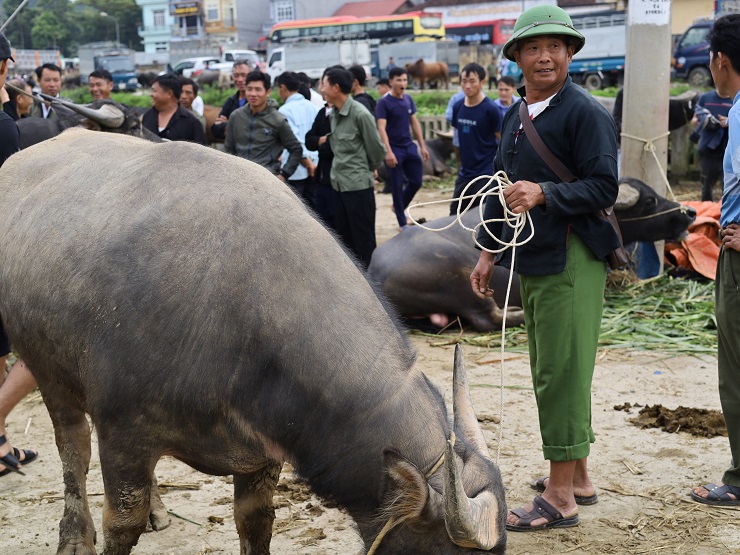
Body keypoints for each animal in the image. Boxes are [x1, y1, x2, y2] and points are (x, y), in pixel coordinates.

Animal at [0, 128, 508, 555]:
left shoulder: (260, 455)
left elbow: (255, 522)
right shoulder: (123, 432)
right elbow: (122, 522)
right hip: (48, 371)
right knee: (73, 447)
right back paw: (74, 536)